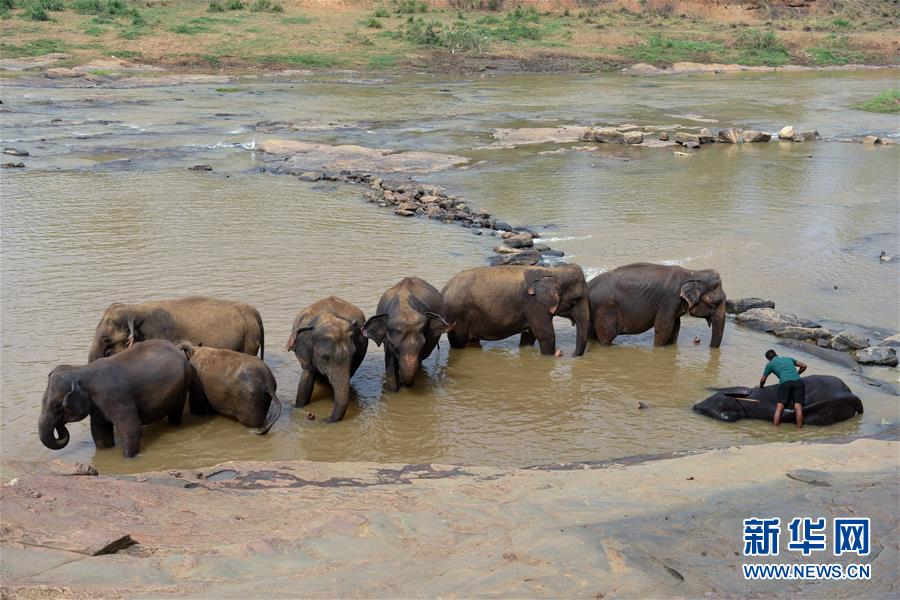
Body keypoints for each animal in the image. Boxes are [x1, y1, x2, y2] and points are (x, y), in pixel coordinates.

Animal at [38, 339, 191, 458]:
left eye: (58, 407)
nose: (60, 425)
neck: (82, 371)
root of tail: (176, 347)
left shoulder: (117, 399)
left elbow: (132, 430)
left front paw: (128, 458)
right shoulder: (97, 406)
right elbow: (99, 432)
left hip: (183, 385)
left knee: (175, 413)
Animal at [441, 264, 590, 357]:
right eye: (574, 302)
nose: (565, 353)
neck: (553, 272)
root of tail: (444, 290)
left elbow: (529, 336)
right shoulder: (534, 304)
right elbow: (546, 335)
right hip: (456, 316)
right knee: (458, 343)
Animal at [588, 263, 726, 348]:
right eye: (716, 303)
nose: (698, 340)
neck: (692, 272)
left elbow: (675, 327)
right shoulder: (670, 300)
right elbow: (663, 327)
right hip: (604, 310)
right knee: (606, 337)